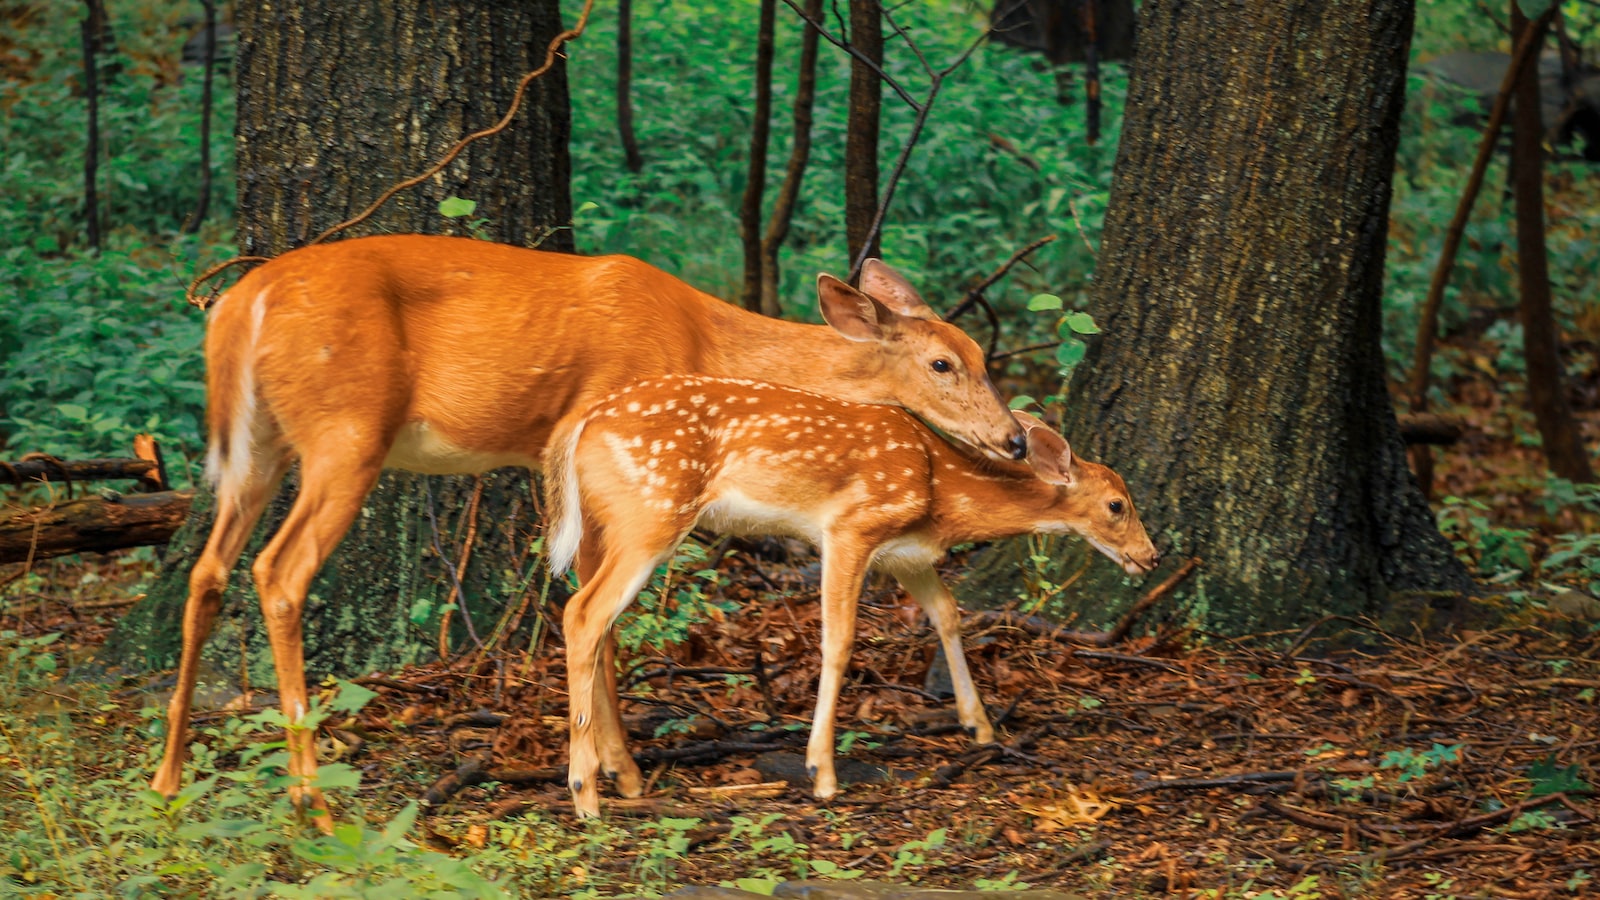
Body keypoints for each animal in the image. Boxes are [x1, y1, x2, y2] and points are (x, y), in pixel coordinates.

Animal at [152, 232, 1024, 819]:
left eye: (985, 355)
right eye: (945, 364)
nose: (1015, 438)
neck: (708, 338)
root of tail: (237, 305)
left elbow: (584, 607)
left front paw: (616, 768)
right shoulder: (616, 441)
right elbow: (596, 617)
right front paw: (617, 773)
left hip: (259, 443)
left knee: (206, 569)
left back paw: (168, 776)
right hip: (345, 432)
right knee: (279, 571)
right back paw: (312, 798)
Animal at [550, 371, 1164, 813]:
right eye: (1117, 504)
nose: (1152, 556)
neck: (941, 491)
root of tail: (580, 427)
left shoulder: (904, 553)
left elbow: (948, 612)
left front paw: (980, 725)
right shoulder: (852, 526)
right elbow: (840, 641)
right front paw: (821, 772)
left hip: (605, 528)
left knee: (601, 626)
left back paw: (626, 776)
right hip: (652, 512)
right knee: (583, 614)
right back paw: (586, 793)